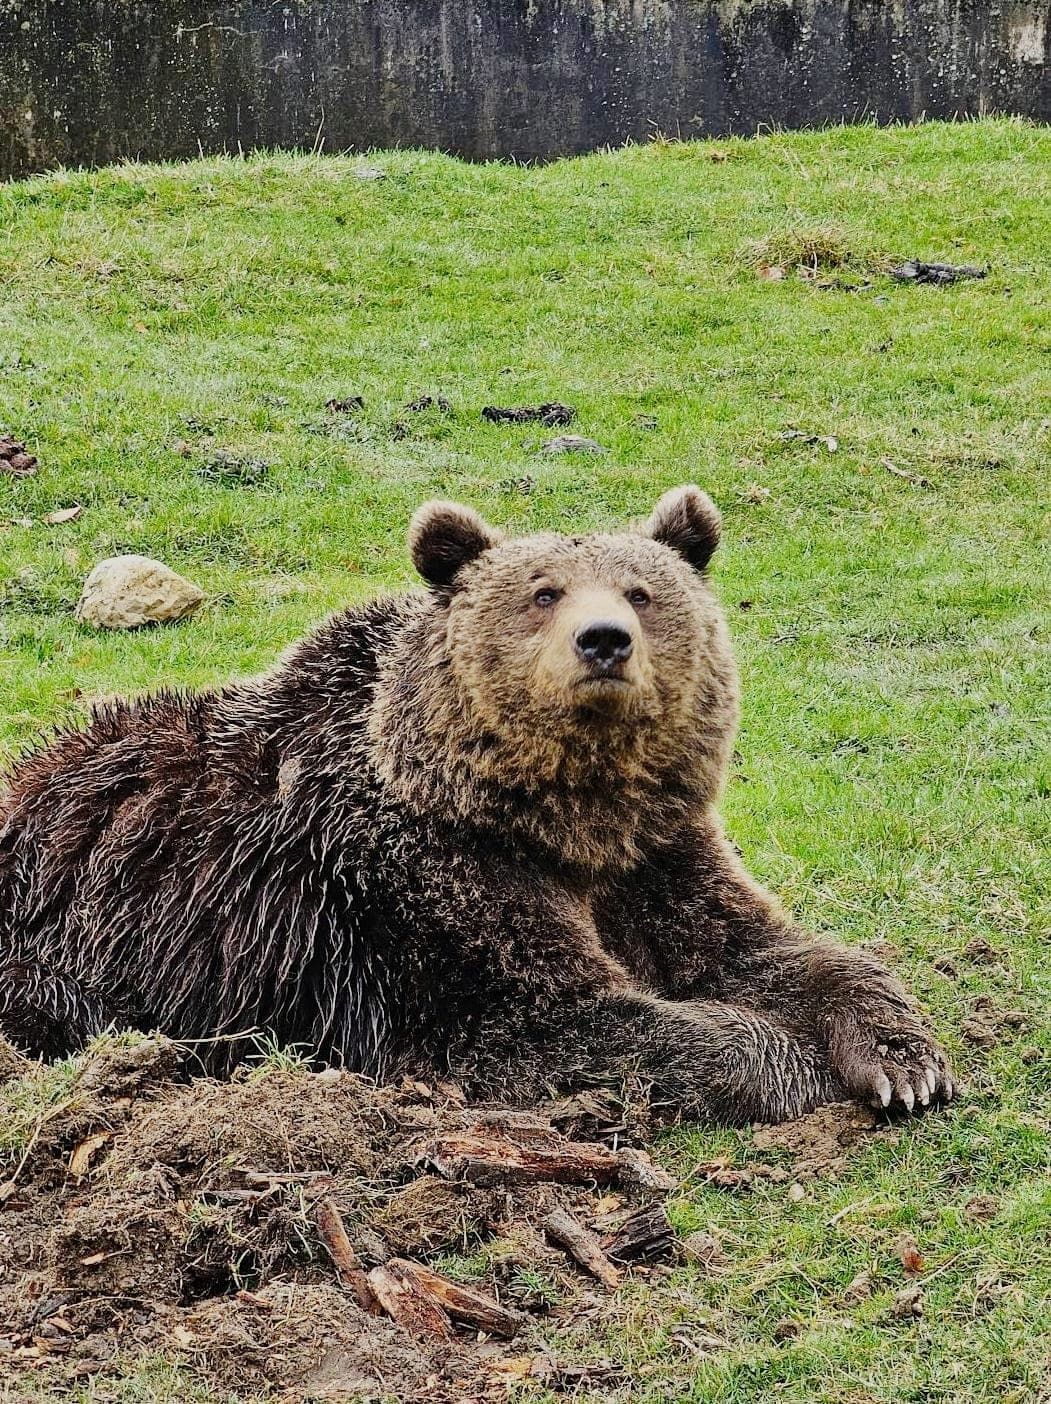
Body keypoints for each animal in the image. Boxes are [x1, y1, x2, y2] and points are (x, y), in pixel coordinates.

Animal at [0, 486, 953, 1123]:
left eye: (642, 592)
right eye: (542, 591)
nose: (603, 641)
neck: (563, 824)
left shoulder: (655, 854)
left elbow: (765, 949)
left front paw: (902, 1062)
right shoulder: (416, 887)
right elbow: (550, 1019)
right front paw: (790, 1062)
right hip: (65, 943)